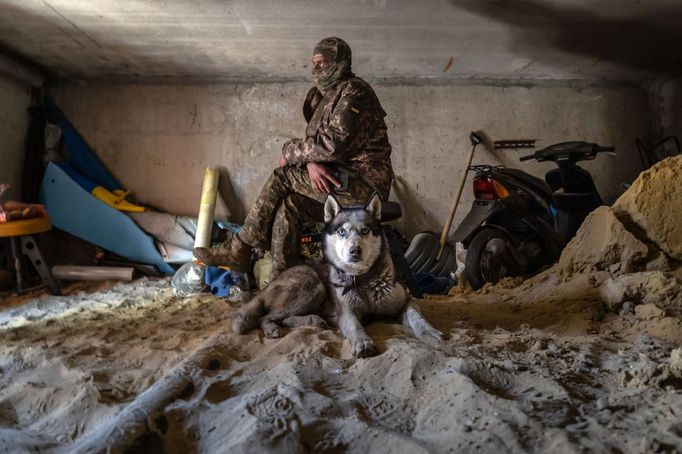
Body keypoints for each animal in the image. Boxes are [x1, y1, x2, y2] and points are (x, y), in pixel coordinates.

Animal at [231, 193, 440, 356]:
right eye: (341, 232)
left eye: (365, 230)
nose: (355, 251)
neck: (362, 280)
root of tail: (270, 283)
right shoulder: (347, 312)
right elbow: (355, 326)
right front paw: (363, 342)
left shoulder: (406, 301)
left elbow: (416, 315)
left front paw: (429, 332)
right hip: (314, 286)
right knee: (266, 317)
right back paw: (275, 327)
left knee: (280, 317)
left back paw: (311, 320)